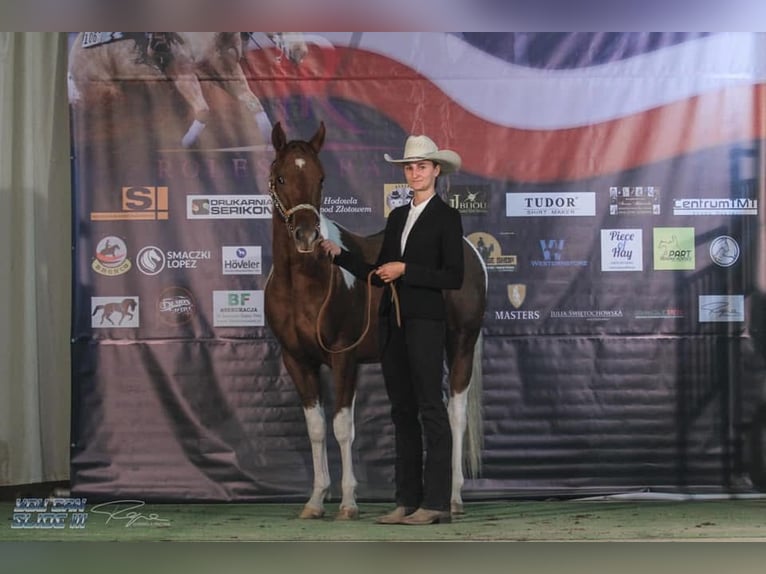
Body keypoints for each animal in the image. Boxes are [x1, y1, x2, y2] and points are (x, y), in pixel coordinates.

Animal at [68, 32, 307, 148]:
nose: (301, 52)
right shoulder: (182, 72)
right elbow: (203, 110)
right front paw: (186, 142)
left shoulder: (224, 68)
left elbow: (251, 99)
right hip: (105, 92)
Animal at [264, 122, 487, 519]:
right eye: (280, 178)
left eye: (321, 178)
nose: (307, 236)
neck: (304, 282)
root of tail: (469, 249)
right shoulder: (296, 361)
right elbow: (316, 428)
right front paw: (315, 500)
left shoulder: (344, 357)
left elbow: (342, 427)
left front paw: (348, 502)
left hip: (461, 342)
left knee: (455, 413)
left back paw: (453, 497)